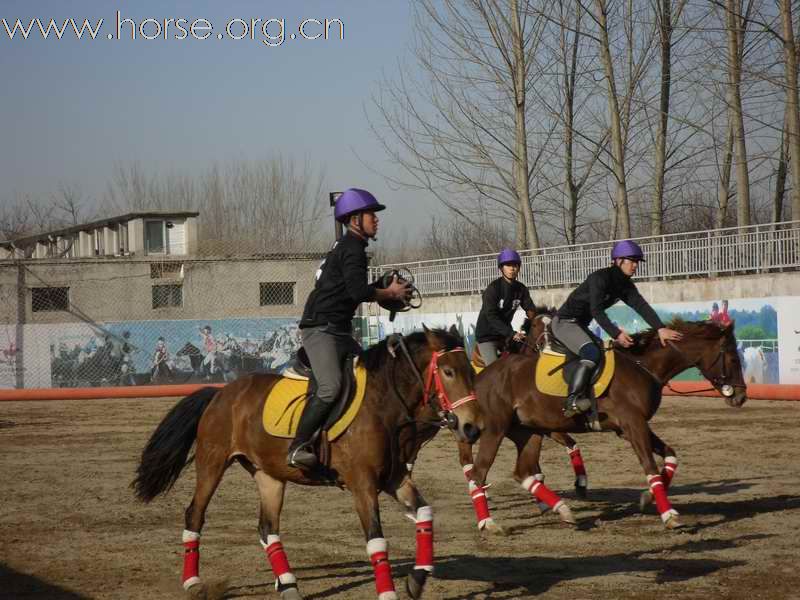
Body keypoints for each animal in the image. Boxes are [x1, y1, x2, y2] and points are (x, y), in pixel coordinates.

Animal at [132, 328, 482, 600]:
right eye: (448, 372)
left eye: (470, 371)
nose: (472, 428)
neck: (384, 404)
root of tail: (220, 394)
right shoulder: (363, 485)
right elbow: (376, 540)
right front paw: (388, 592)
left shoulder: (394, 479)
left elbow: (425, 513)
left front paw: (417, 578)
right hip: (212, 463)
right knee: (195, 514)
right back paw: (193, 582)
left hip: (269, 476)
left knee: (267, 528)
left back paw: (287, 584)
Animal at [460, 318, 748, 528]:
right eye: (734, 359)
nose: (741, 396)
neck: (642, 365)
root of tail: (482, 376)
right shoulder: (633, 425)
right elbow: (650, 467)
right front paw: (669, 515)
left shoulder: (632, 427)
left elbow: (670, 455)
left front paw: (648, 497)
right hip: (496, 429)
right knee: (478, 472)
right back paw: (488, 523)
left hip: (529, 432)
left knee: (522, 472)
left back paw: (562, 509)